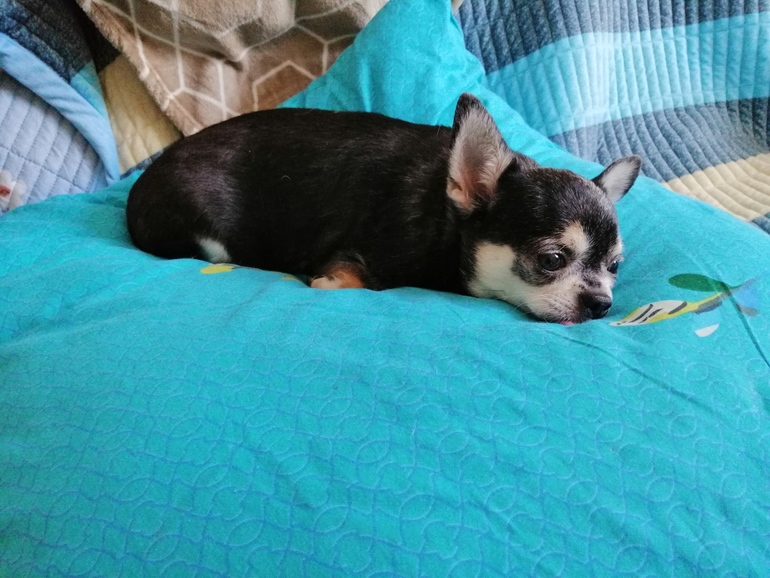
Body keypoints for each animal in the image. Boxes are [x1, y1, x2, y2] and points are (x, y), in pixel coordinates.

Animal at [126, 93, 641, 324]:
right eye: (551, 259)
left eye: (615, 267)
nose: (602, 304)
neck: (445, 224)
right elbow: (351, 277)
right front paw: (330, 281)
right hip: (209, 235)